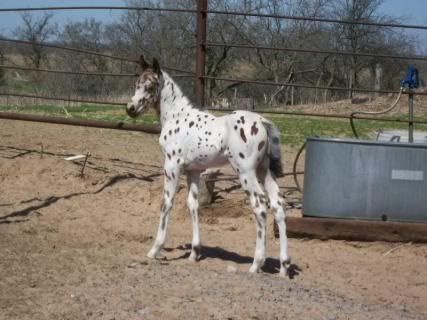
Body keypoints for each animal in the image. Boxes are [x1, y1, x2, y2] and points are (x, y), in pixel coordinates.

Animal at [125, 55, 290, 276]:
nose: (131, 109)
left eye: (151, 86)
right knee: (278, 205)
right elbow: (193, 205)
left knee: (260, 205)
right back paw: (284, 268)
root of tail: (263, 122)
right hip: (265, 171)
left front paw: (154, 249)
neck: (176, 117)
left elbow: (166, 203)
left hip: (246, 172)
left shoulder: (171, 166)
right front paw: (194, 253)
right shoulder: (193, 171)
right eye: (137, 83)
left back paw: (256, 264)